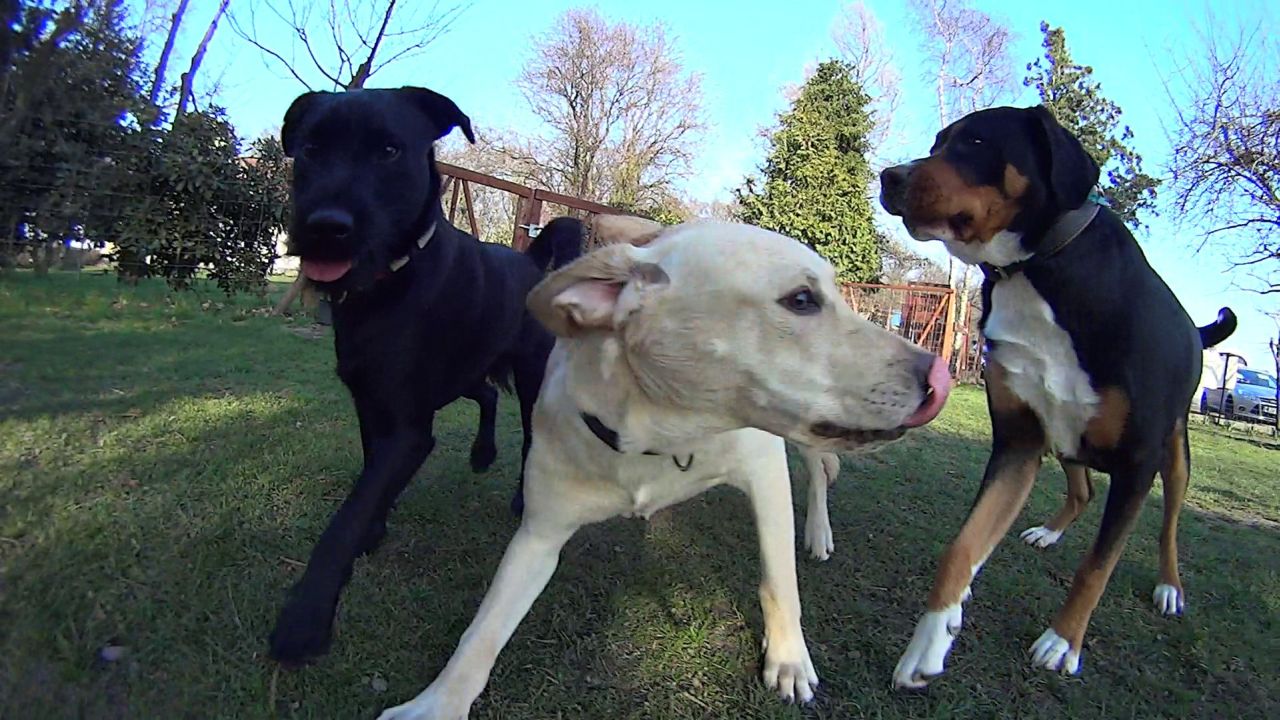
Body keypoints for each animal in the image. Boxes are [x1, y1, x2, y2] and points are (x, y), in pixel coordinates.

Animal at [272, 85, 583, 661]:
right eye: (309, 149)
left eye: (390, 151)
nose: (325, 226)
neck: (390, 284)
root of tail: (532, 262)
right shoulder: (372, 404)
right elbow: (369, 476)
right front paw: (375, 527)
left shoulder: (408, 429)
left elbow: (347, 516)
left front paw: (305, 618)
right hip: (463, 369)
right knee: (486, 395)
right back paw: (482, 454)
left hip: (531, 378)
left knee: (529, 433)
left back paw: (519, 493)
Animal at [373, 215, 952, 712]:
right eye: (802, 300)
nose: (936, 375)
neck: (660, 434)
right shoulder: (538, 536)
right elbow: (484, 630)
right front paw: (436, 702)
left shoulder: (765, 470)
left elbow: (779, 580)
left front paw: (788, 659)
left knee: (818, 475)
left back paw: (818, 533)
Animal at [880, 105, 1239, 681]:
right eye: (937, 144)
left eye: (976, 142)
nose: (890, 177)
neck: (1037, 270)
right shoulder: (1019, 442)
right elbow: (962, 547)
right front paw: (929, 642)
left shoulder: (1137, 464)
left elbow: (1097, 566)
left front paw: (1062, 642)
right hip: (1065, 437)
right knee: (1083, 488)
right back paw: (1048, 532)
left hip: (1174, 452)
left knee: (1168, 525)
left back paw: (1169, 587)